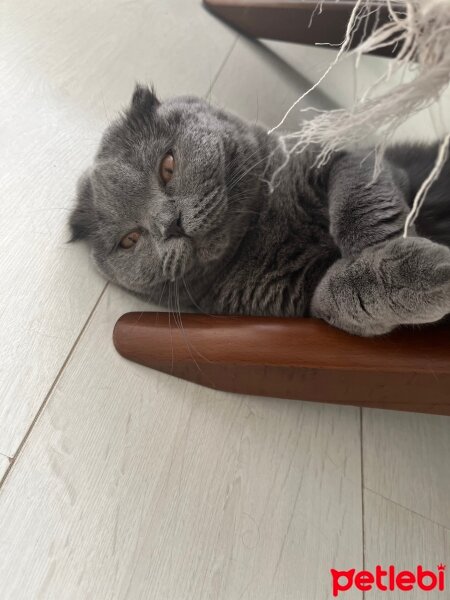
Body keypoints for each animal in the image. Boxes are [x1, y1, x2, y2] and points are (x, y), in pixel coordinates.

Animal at [70, 84, 450, 338]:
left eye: (167, 166)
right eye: (130, 239)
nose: (170, 224)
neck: (262, 227)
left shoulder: (349, 156)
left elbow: (361, 203)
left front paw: (383, 247)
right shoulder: (303, 304)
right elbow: (337, 299)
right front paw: (423, 271)